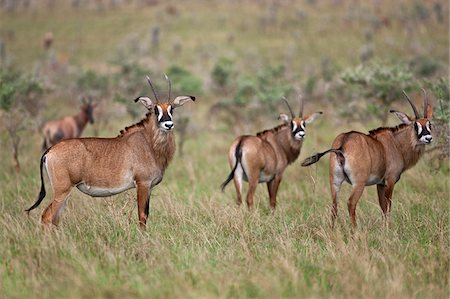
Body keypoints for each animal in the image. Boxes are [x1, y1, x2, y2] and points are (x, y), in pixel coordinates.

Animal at [25, 75, 195, 230]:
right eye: (155, 109)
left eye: (172, 108)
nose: (168, 124)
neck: (149, 144)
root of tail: (50, 150)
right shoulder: (143, 183)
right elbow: (142, 216)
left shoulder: (149, 187)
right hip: (62, 190)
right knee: (47, 216)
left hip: (64, 193)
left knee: (55, 219)